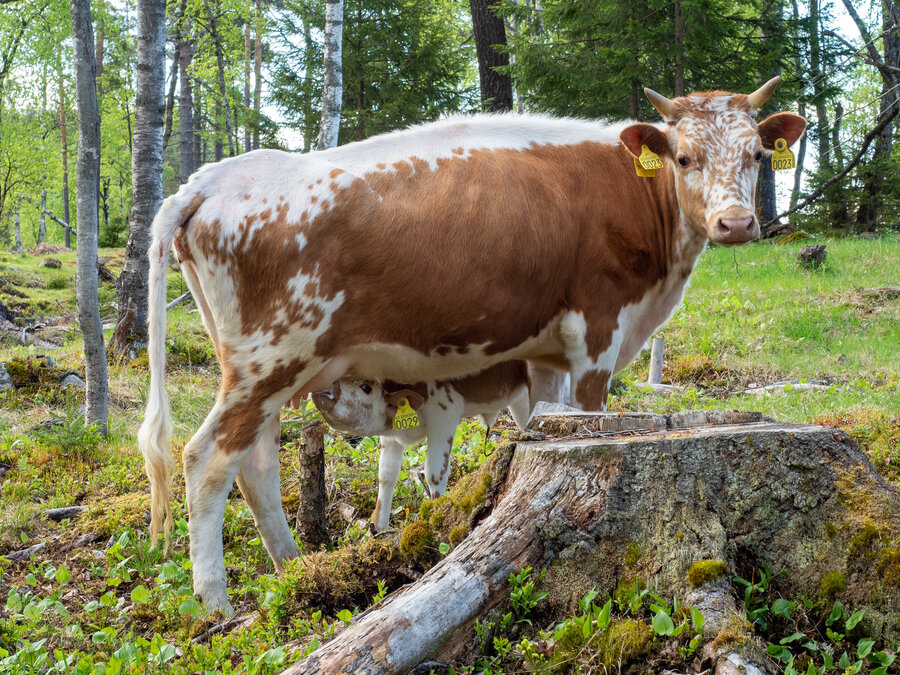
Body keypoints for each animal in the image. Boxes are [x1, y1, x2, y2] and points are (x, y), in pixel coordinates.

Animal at [142, 76, 808, 616]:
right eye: (686, 157)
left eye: (756, 155)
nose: (735, 223)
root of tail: (213, 177)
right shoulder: (597, 333)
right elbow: (590, 417)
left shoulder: (545, 355)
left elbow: (544, 424)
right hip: (271, 358)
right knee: (207, 459)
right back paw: (216, 602)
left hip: (278, 367)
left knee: (256, 462)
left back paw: (294, 567)